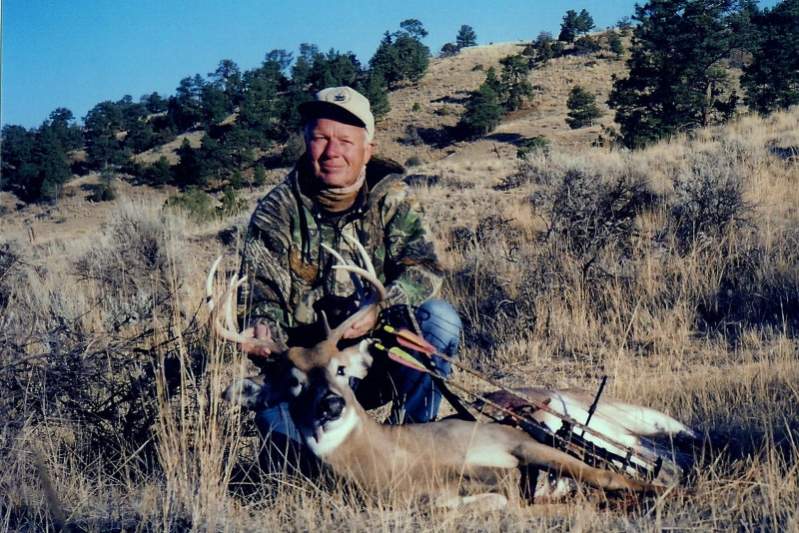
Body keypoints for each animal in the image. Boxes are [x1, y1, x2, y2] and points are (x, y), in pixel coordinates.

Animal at [208, 240, 692, 508]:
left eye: (342, 370)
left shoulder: (511, 439)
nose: (329, 405)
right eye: (292, 383)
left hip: (618, 425)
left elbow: (609, 476)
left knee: (664, 454)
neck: (395, 459)